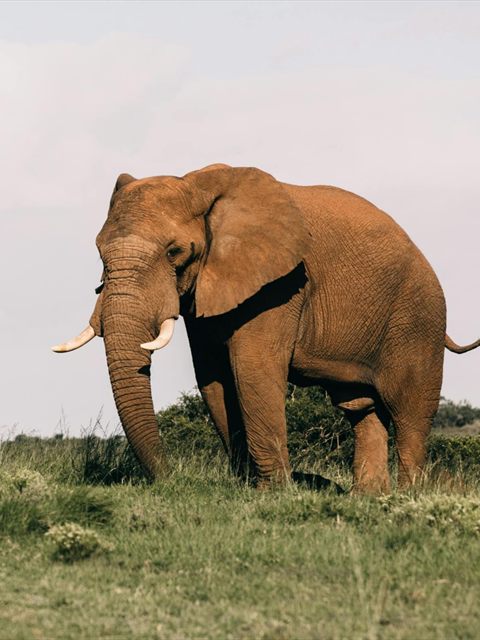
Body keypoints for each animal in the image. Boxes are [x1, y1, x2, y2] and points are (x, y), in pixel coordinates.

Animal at [53, 164, 480, 493]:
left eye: (175, 252)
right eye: (99, 253)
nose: (170, 478)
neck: (199, 184)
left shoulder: (280, 284)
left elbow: (252, 368)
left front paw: (273, 493)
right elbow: (213, 377)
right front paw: (248, 487)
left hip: (418, 317)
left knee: (410, 410)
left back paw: (406, 498)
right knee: (362, 409)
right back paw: (368, 499)